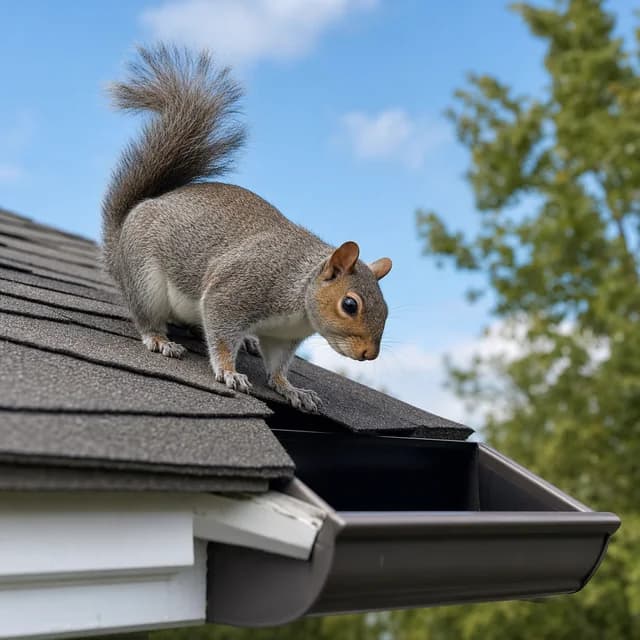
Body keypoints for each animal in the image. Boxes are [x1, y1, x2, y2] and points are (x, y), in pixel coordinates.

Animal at [101, 44, 392, 412]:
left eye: (387, 308)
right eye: (350, 305)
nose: (369, 354)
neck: (299, 292)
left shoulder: (283, 337)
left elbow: (278, 365)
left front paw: (291, 388)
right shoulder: (237, 290)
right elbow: (223, 335)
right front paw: (229, 371)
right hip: (144, 278)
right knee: (146, 316)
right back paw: (159, 339)